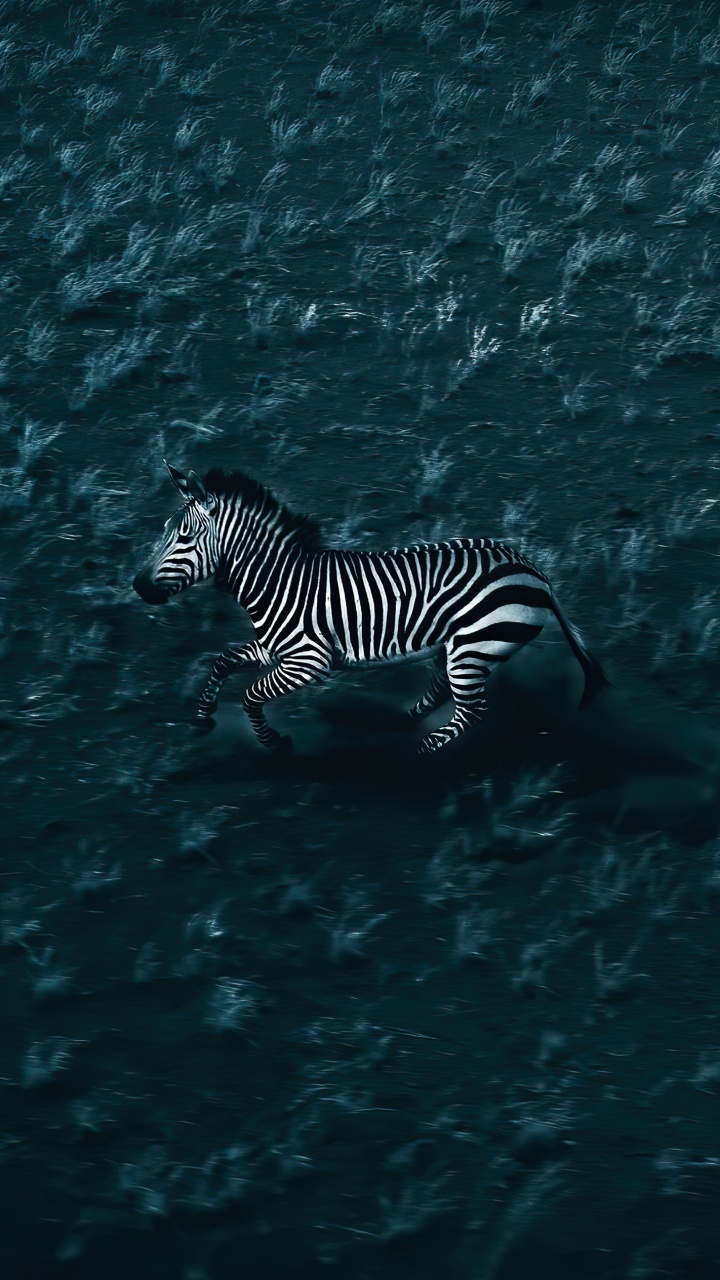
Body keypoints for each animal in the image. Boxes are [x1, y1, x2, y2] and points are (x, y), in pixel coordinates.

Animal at [133, 463, 608, 755]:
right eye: (165, 530)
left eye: (184, 537)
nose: (137, 587)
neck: (278, 581)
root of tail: (535, 571)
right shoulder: (275, 649)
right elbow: (222, 660)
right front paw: (202, 716)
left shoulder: (309, 661)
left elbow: (250, 695)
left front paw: (274, 744)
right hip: (457, 646)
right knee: (444, 691)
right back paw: (404, 721)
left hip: (475, 645)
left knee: (472, 710)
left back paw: (419, 752)